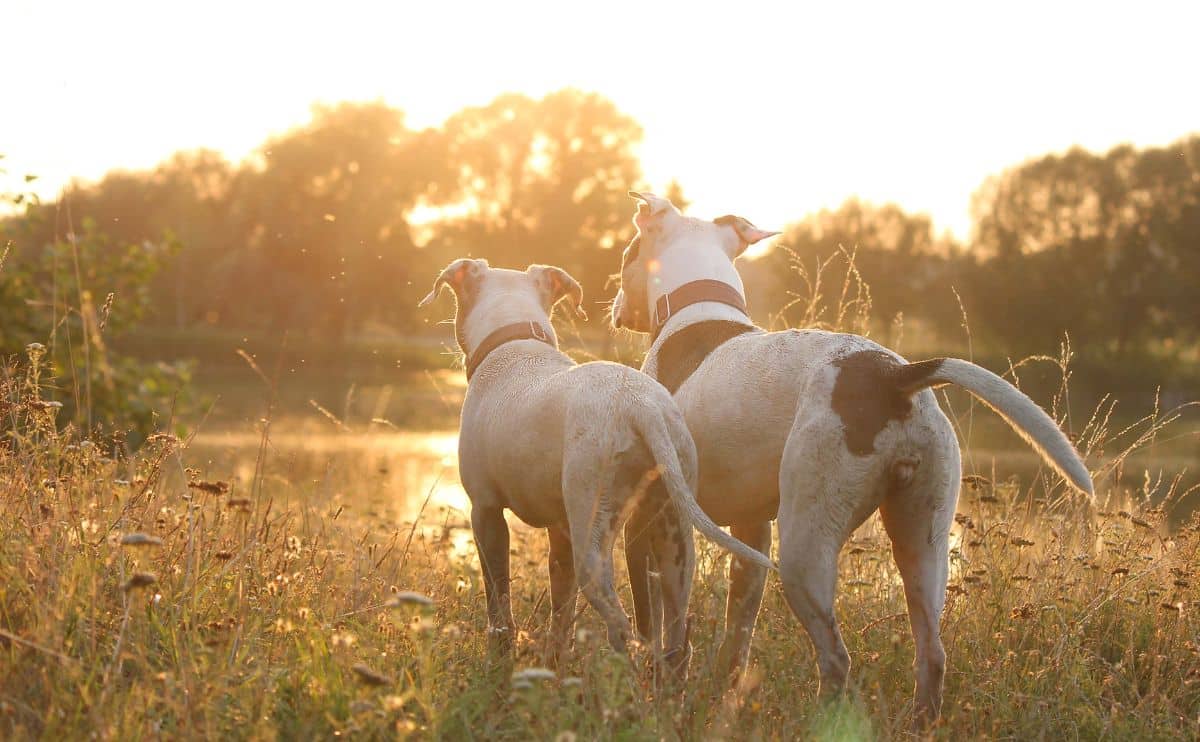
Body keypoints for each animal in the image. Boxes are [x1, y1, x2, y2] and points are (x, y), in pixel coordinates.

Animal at [417, 256, 772, 672]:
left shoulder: (485, 513)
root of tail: (641, 408)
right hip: (673, 535)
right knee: (676, 640)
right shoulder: (560, 532)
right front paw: (553, 668)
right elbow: (561, 613)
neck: (513, 341)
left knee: (623, 630)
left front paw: (499, 665)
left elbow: (499, 603)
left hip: (595, 537)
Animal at [614, 192, 1094, 720]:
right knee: (932, 654)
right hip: (921, 543)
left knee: (837, 659)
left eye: (627, 253)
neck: (695, 309)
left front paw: (659, 693)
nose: (612, 304)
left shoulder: (656, 520)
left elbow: (661, 626)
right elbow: (734, 633)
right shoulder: (750, 533)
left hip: (804, 551)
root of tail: (894, 376)